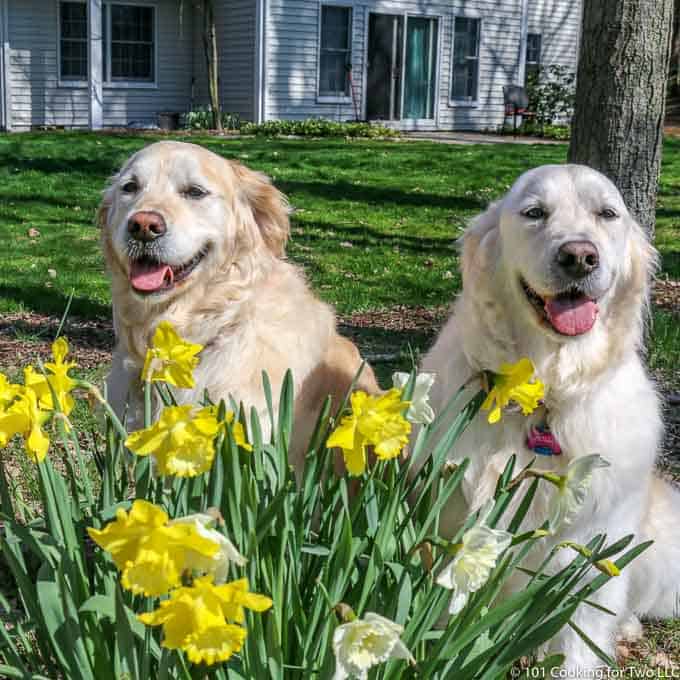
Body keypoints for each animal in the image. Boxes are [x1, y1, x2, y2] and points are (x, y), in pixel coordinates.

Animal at [422, 163, 676, 668]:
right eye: (535, 213)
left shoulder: (593, 537)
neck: (546, 388)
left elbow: (581, 629)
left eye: (607, 214)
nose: (579, 257)